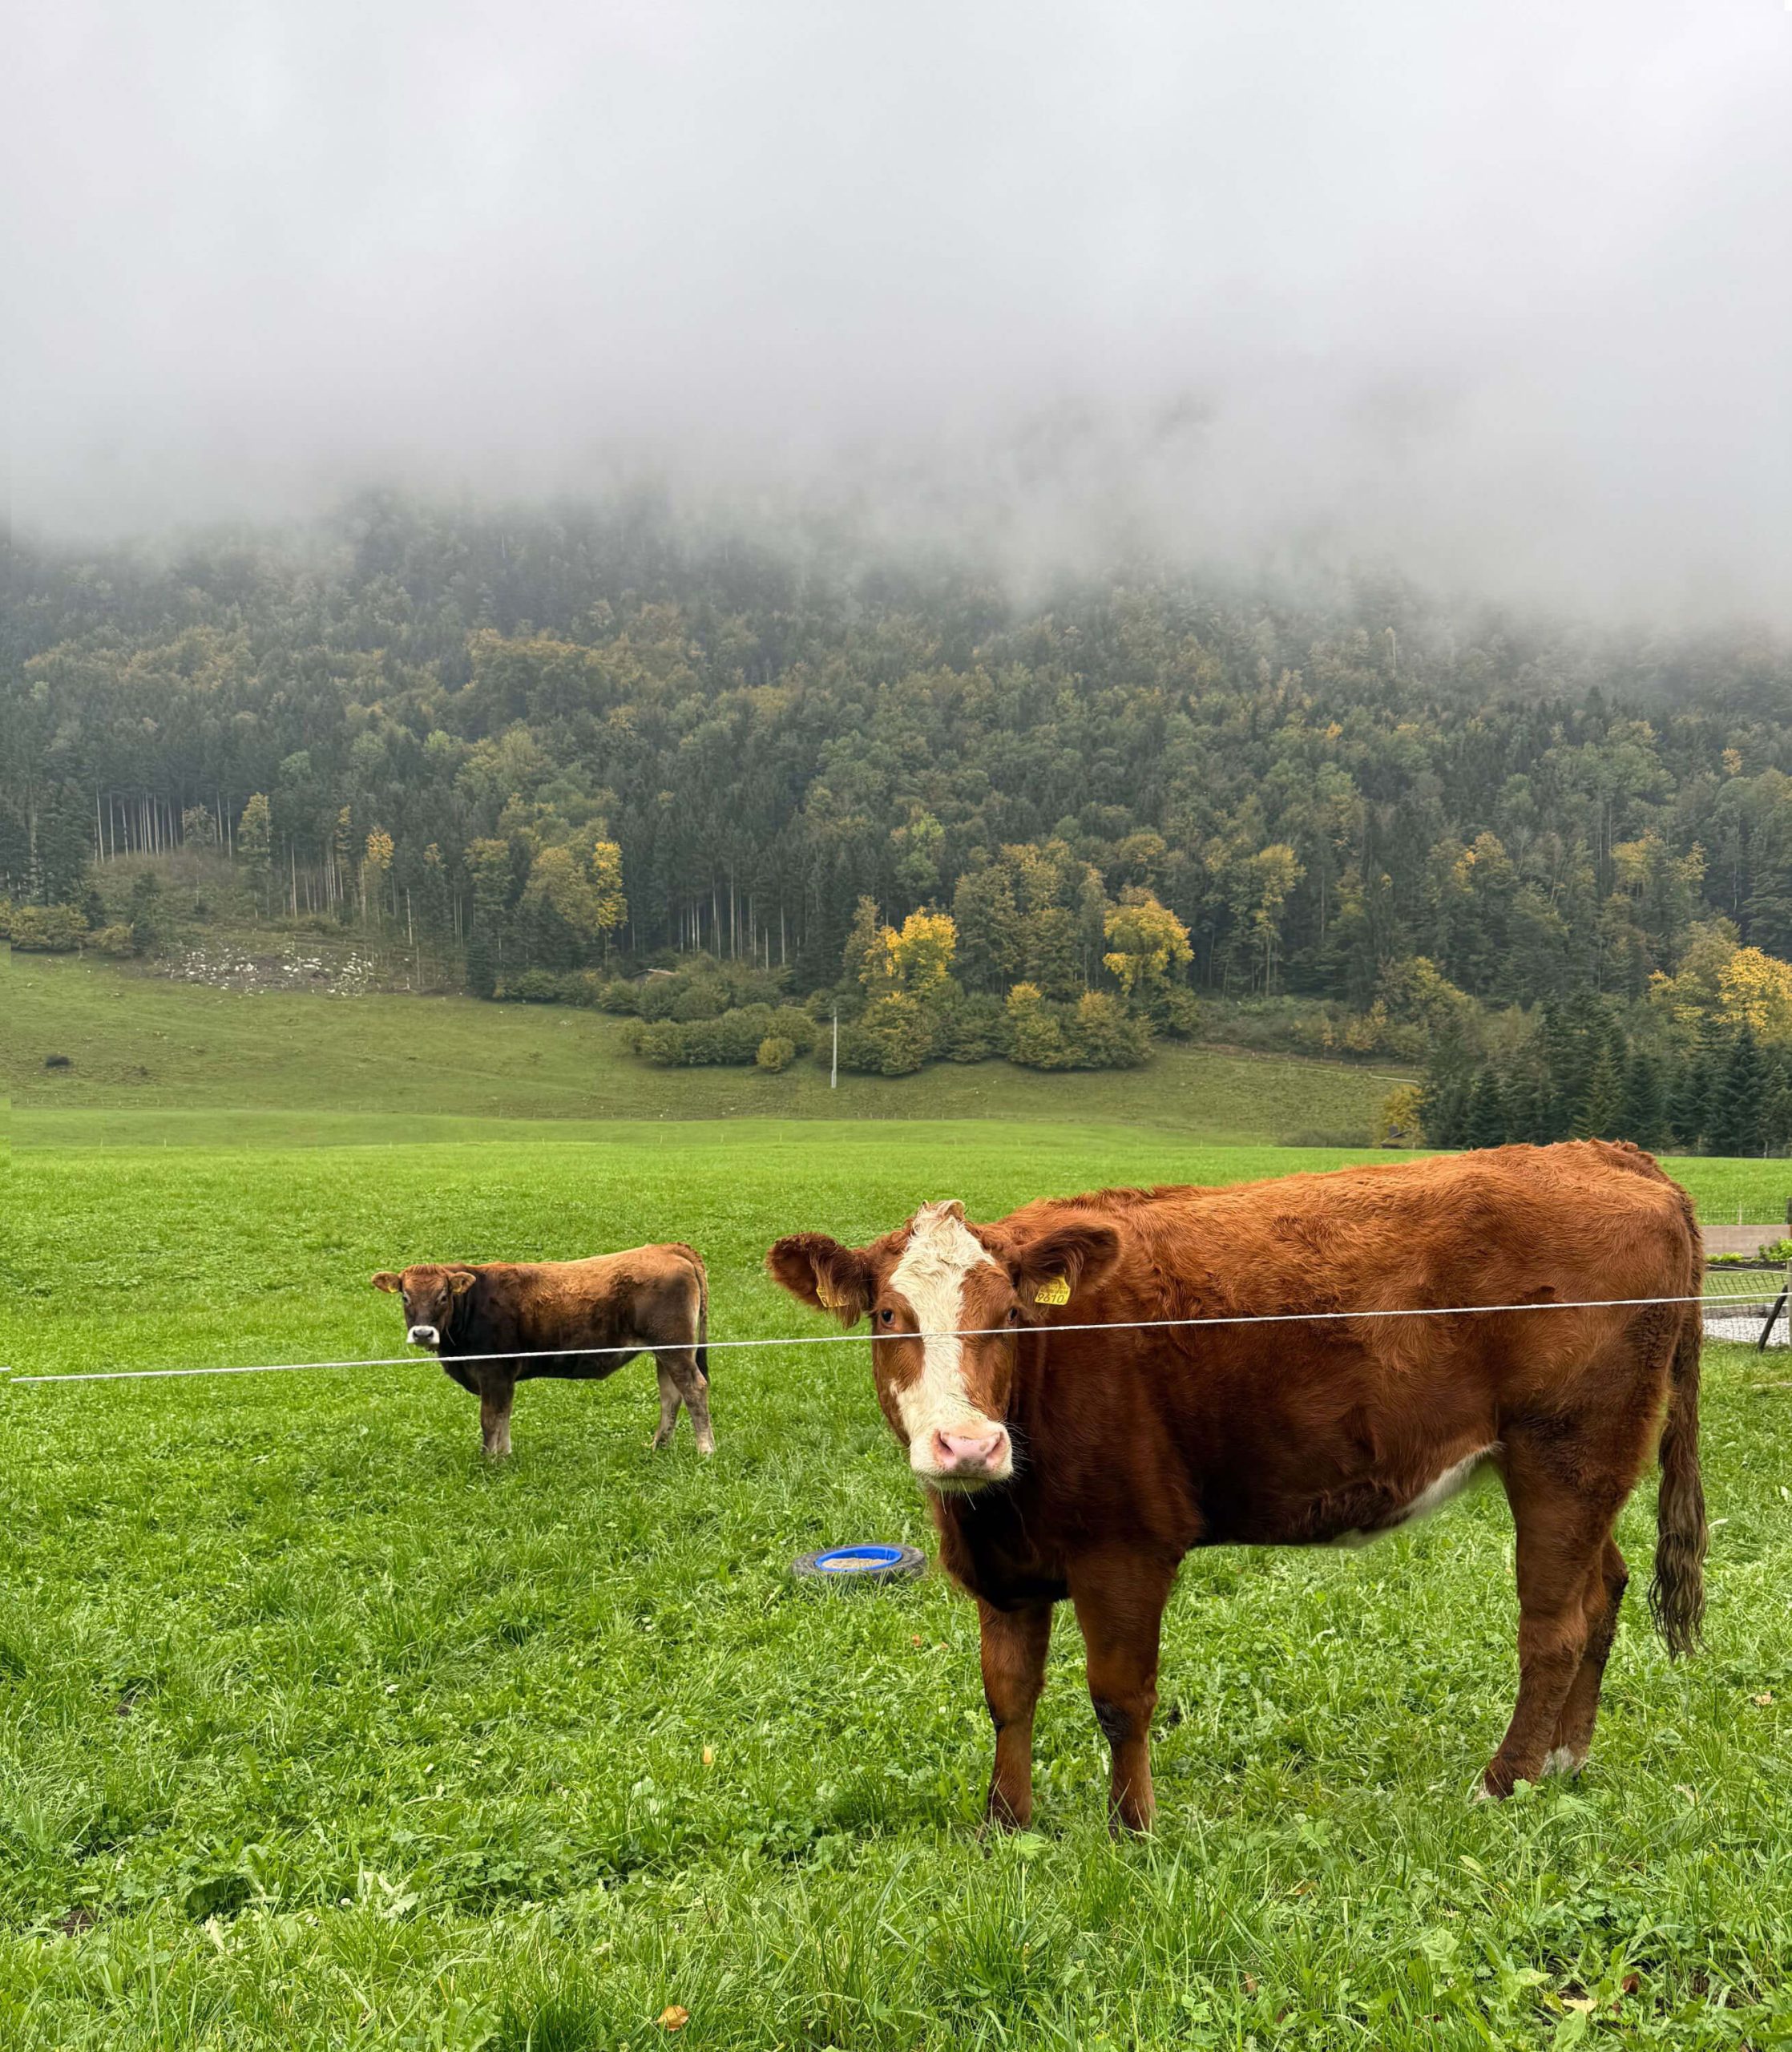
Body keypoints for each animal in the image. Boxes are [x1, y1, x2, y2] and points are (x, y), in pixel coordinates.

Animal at [371, 1245, 712, 1458]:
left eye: (443, 1296)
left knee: (694, 1389)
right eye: (405, 1296)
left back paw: (705, 1450)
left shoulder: (494, 1372)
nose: (423, 1333)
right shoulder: (503, 1377)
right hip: (665, 1351)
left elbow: (490, 1419)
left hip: (676, 1349)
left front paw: (489, 1461)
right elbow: (504, 1414)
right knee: (671, 1395)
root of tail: (666, 1248)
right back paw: (658, 1446)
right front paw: (505, 1456)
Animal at [767, 1141, 1706, 1831]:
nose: (966, 1444)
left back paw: (1502, 1782)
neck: (1000, 1507)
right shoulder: (1003, 1571)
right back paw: (1565, 1761)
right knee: (1604, 1590)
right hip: (1582, 1468)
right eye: (889, 1315)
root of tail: (1608, 1154)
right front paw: (1007, 1825)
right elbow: (1008, 1695)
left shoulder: (1125, 1548)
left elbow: (1120, 1696)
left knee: (1552, 1628)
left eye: (1010, 1315)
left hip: (1566, 1452)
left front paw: (1132, 1828)